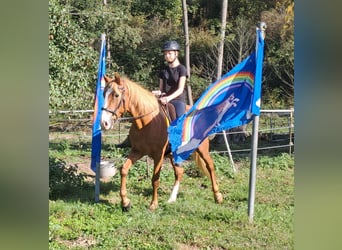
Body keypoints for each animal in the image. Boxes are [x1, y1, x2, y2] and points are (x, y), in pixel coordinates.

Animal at [100, 73, 223, 211]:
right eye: (104, 94)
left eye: (116, 95)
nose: (104, 123)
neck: (146, 122)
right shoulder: (137, 151)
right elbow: (124, 170)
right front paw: (125, 203)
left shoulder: (158, 155)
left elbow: (155, 178)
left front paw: (153, 204)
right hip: (173, 154)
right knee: (179, 172)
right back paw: (172, 198)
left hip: (202, 148)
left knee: (210, 167)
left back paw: (218, 196)